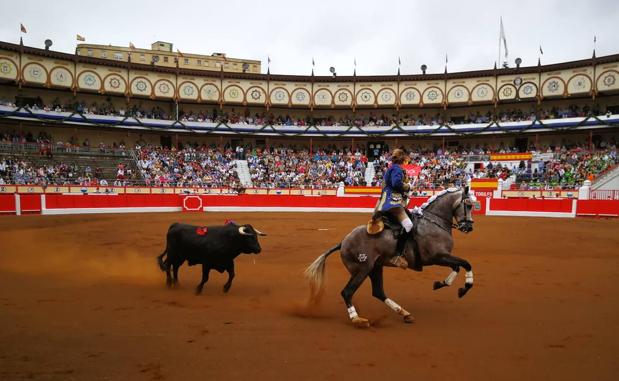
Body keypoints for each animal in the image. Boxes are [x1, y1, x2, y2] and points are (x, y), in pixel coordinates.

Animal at [308, 186, 478, 326]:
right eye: (468, 205)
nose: (468, 227)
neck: (434, 222)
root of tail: (343, 241)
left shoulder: (443, 257)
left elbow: (457, 266)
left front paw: (441, 283)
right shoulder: (437, 257)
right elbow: (466, 263)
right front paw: (465, 288)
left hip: (375, 268)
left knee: (378, 292)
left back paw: (405, 313)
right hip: (362, 270)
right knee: (347, 292)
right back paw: (358, 319)